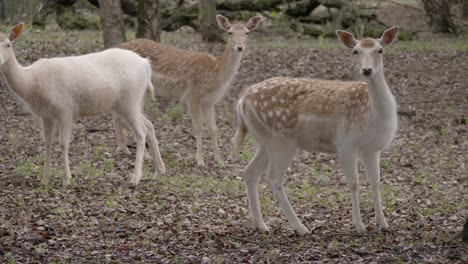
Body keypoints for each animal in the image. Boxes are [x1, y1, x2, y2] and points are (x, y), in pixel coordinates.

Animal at [0, 23, 165, 187]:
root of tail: (146, 65)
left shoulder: (65, 109)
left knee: (141, 132)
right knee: (149, 125)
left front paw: (67, 179)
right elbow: (47, 143)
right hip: (131, 103)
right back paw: (159, 172)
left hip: (130, 99)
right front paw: (45, 179)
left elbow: (63, 143)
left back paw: (136, 178)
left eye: (8, 44)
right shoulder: (46, 115)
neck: (31, 82)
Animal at [117, 14, 264, 166]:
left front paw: (219, 160)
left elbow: (213, 128)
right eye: (230, 32)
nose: (240, 47)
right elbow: (198, 127)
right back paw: (142, 154)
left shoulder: (210, 101)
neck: (217, 73)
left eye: (247, 32)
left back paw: (125, 149)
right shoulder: (193, 94)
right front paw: (200, 160)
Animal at [234, 26, 398, 234]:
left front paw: (383, 223)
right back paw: (300, 228)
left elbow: (376, 182)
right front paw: (359, 225)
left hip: (264, 142)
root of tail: (242, 100)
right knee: (273, 179)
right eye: (355, 51)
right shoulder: (346, 144)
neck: (373, 116)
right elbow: (354, 183)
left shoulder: (373, 149)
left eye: (380, 50)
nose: (367, 70)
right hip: (281, 141)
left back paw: (261, 225)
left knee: (250, 173)